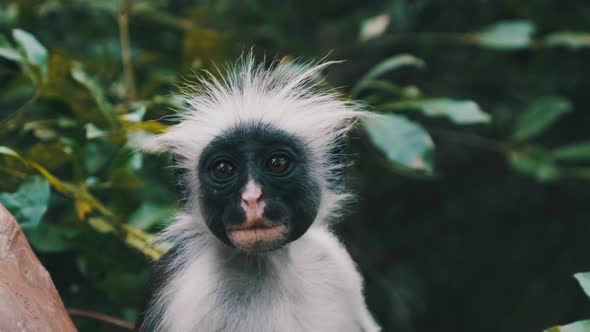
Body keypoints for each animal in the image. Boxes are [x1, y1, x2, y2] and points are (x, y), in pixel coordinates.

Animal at [136, 55, 382, 332]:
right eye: (223, 169)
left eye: (278, 163)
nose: (252, 198)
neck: (269, 263)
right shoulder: (188, 295)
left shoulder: (333, 260)